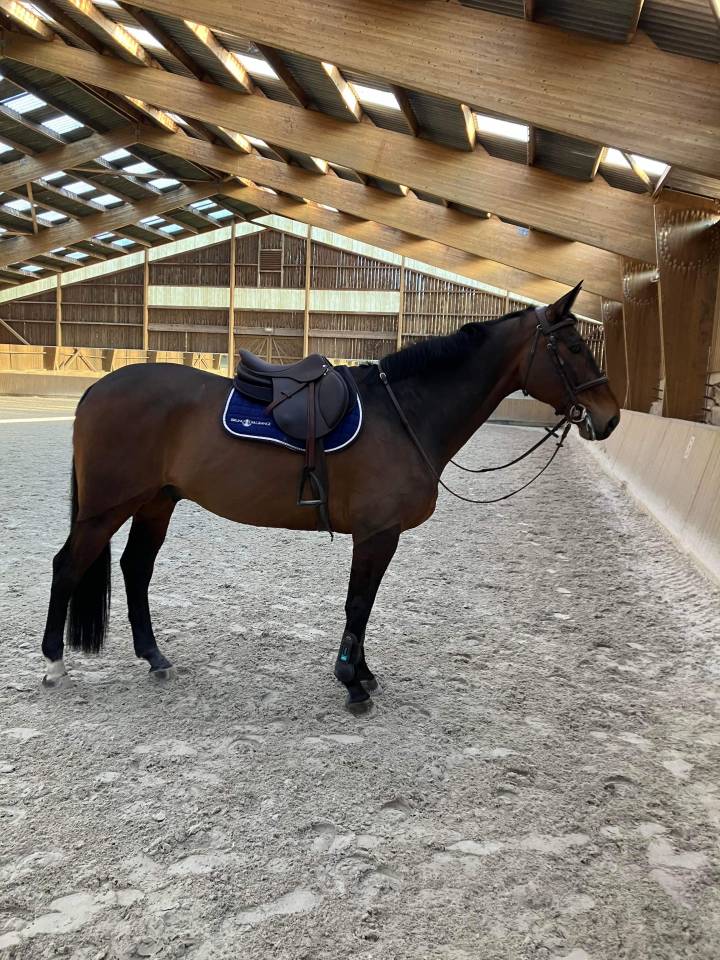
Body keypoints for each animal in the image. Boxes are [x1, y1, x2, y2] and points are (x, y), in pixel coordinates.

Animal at [40, 283, 620, 711]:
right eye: (573, 347)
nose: (610, 418)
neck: (402, 415)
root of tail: (97, 390)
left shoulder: (380, 535)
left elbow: (364, 605)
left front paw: (362, 671)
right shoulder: (377, 534)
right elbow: (358, 602)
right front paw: (351, 681)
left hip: (157, 501)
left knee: (136, 568)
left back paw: (154, 657)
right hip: (107, 508)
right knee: (68, 566)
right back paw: (53, 664)